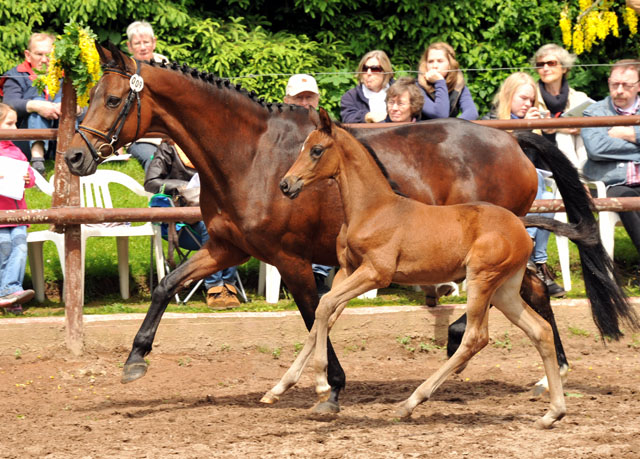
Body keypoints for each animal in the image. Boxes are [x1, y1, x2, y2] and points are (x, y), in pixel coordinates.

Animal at [262, 109, 568, 430]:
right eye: (303, 148)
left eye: (317, 150)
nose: (286, 184)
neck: (371, 209)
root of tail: (520, 225)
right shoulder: (347, 270)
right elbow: (324, 316)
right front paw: (279, 389)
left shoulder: (375, 273)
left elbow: (323, 308)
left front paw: (322, 385)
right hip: (504, 290)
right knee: (540, 330)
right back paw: (552, 413)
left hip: (481, 279)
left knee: (475, 337)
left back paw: (411, 402)